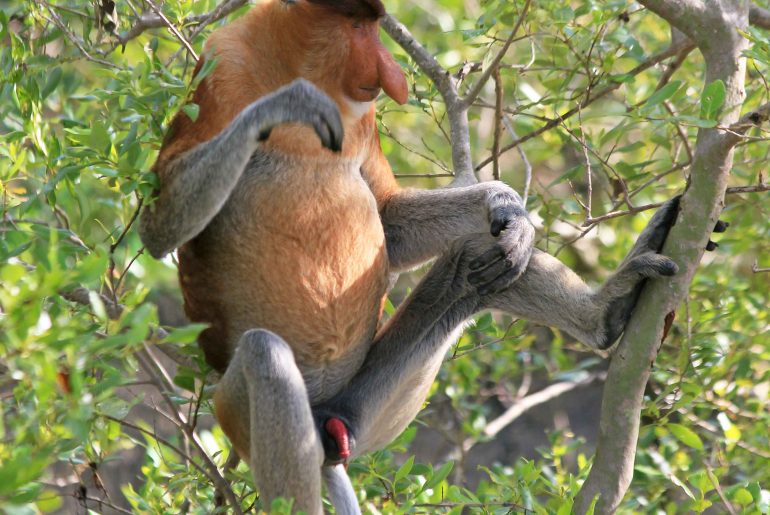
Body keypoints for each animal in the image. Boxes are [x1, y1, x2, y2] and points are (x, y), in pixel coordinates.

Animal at [138, 0, 681, 512]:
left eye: (372, 28)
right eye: (358, 27)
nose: (389, 74)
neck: (287, 60)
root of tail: (324, 420)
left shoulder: (362, 118)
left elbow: (388, 220)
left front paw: (506, 205)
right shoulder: (221, 67)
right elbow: (158, 227)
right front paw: (287, 104)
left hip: (363, 410)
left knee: (482, 262)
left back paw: (604, 313)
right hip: (235, 412)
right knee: (264, 356)